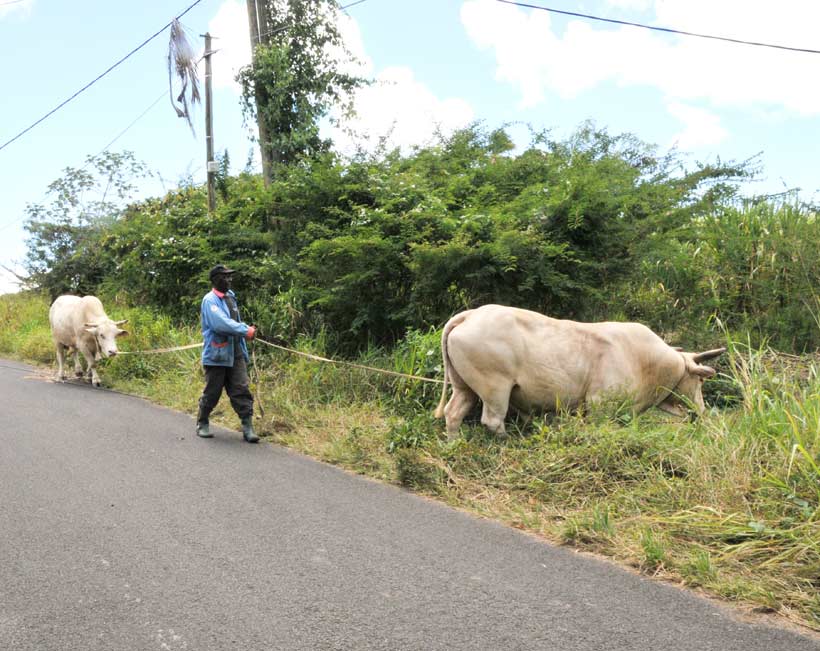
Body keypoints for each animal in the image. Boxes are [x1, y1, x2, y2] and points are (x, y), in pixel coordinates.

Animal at [436, 306, 724, 438]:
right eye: (699, 380)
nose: (702, 410)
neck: (647, 362)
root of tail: (470, 314)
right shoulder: (599, 406)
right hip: (495, 388)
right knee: (493, 420)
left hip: (465, 386)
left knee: (453, 413)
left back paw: (453, 443)